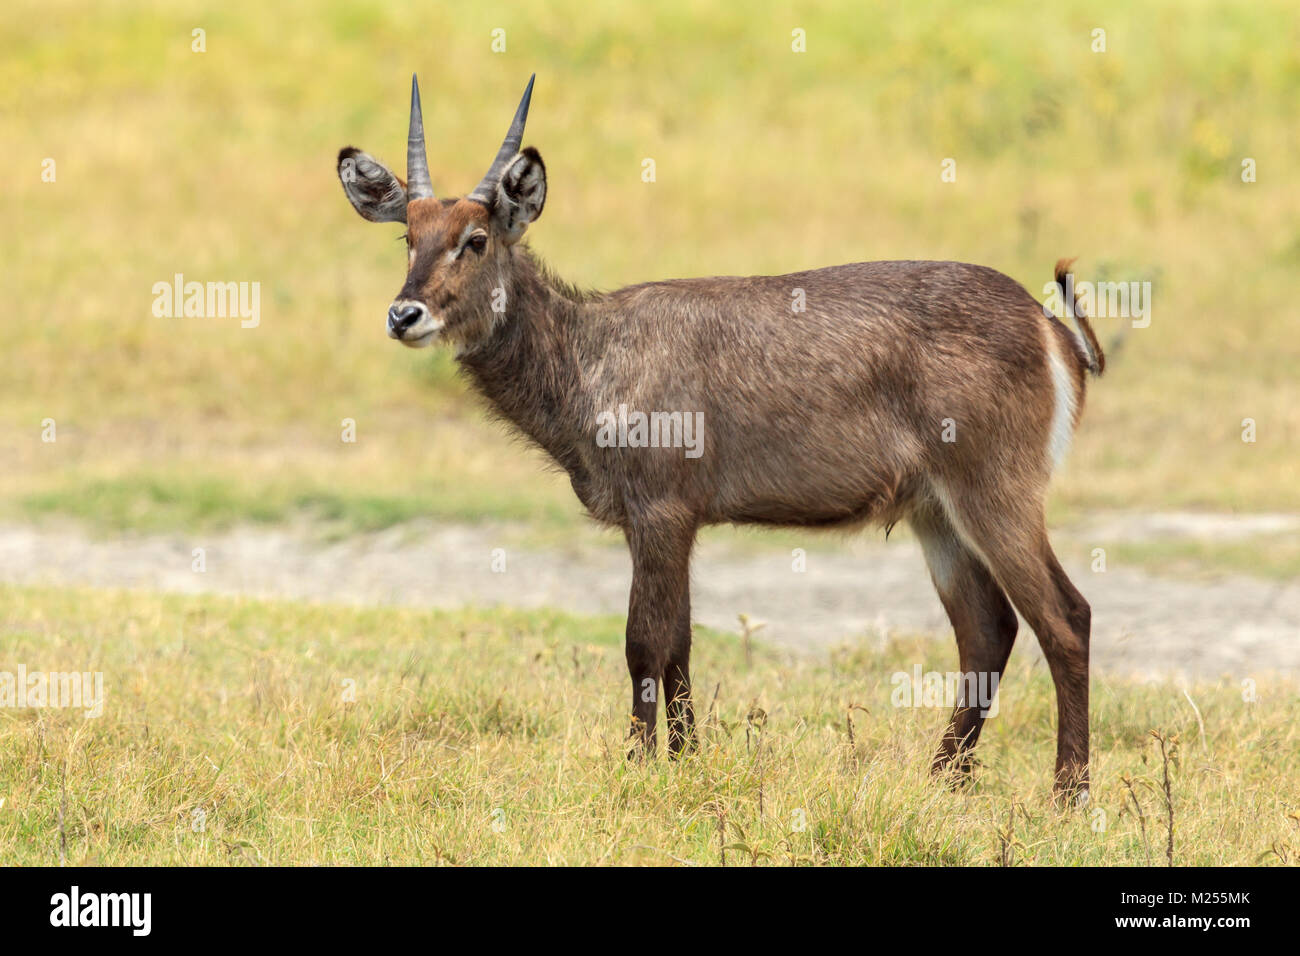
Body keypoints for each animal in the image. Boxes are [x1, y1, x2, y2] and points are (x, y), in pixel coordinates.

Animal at [335, 74, 1107, 801]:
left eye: (476, 239)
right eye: (408, 237)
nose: (404, 315)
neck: (587, 355)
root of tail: (1048, 323)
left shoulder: (661, 511)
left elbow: (643, 643)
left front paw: (637, 768)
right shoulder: (671, 519)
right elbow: (678, 643)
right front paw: (685, 764)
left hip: (995, 492)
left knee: (1065, 617)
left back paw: (1065, 795)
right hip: (935, 510)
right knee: (987, 629)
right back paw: (941, 781)